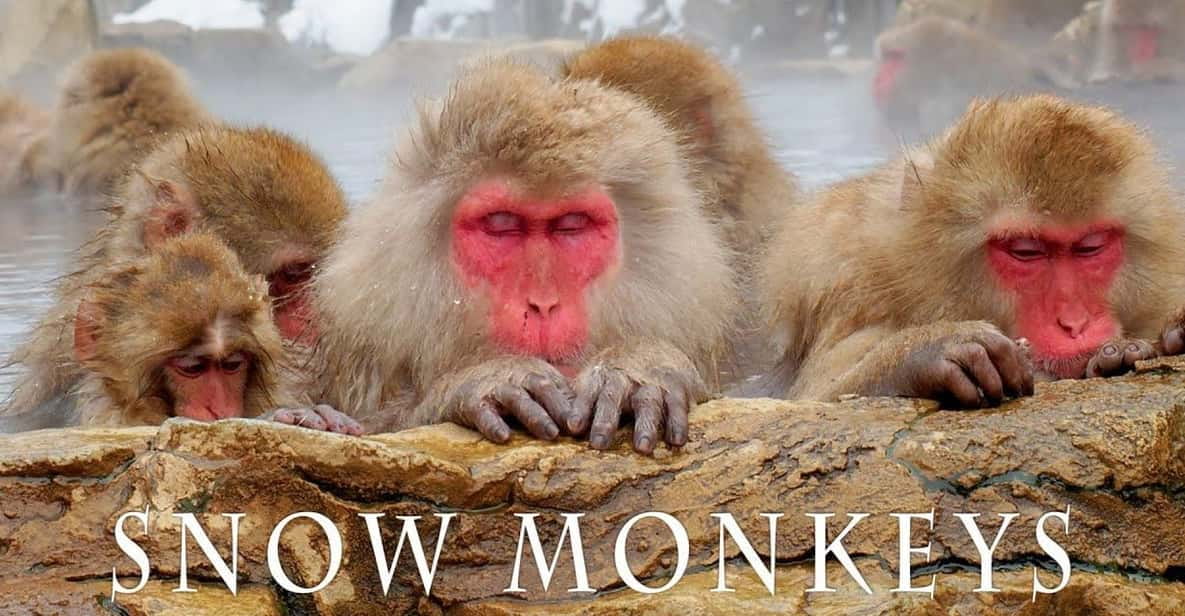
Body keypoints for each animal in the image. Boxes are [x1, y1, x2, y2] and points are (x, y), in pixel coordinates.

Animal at [758, 95, 1185, 408]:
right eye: (1025, 252)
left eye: (1090, 247)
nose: (1074, 323)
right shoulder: (847, 282)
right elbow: (813, 397)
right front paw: (929, 351)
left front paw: (1140, 347)